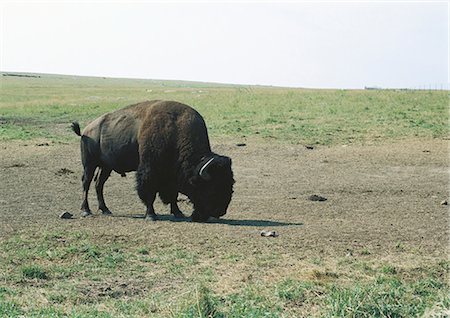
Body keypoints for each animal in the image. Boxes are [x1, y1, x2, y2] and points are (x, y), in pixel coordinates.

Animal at [71, 100, 234, 222]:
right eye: (211, 188)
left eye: (230, 184)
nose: (220, 211)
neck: (175, 130)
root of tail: (86, 130)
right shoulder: (149, 170)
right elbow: (149, 192)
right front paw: (151, 215)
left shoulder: (171, 176)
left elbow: (173, 194)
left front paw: (178, 213)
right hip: (89, 164)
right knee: (86, 183)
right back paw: (86, 210)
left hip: (106, 167)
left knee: (99, 184)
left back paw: (105, 209)